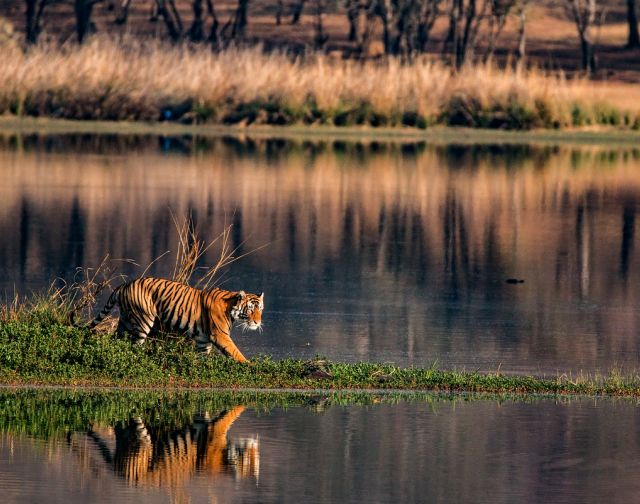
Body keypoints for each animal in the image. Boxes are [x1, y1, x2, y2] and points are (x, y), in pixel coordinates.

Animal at [87, 276, 262, 362]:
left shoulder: (203, 340)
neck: (232, 308)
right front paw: (250, 365)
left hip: (125, 321)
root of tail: (124, 285)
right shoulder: (220, 335)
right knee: (134, 346)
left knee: (117, 341)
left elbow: (202, 359)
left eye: (260, 309)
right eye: (250, 309)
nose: (257, 322)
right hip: (143, 320)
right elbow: (236, 353)